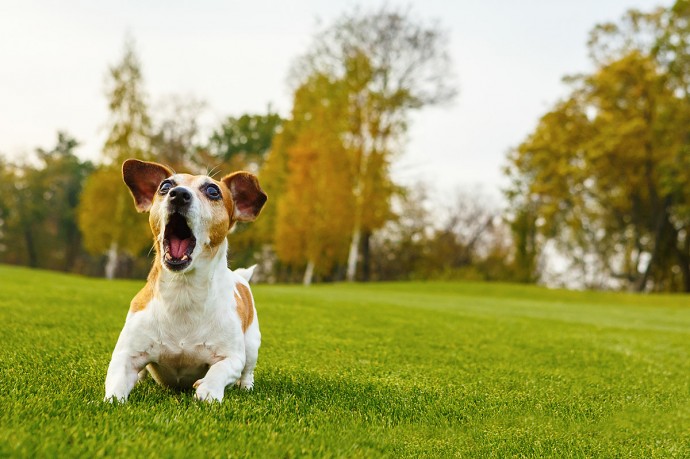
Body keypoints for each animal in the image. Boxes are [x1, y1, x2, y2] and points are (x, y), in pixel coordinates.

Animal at [104, 158, 266, 402]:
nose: (178, 194)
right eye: (165, 186)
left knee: (248, 371)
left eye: (213, 191)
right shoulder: (126, 355)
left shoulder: (232, 358)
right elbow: (115, 388)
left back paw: (245, 386)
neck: (183, 290)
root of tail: (240, 277)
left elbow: (220, 370)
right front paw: (113, 400)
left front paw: (208, 390)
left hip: (252, 344)